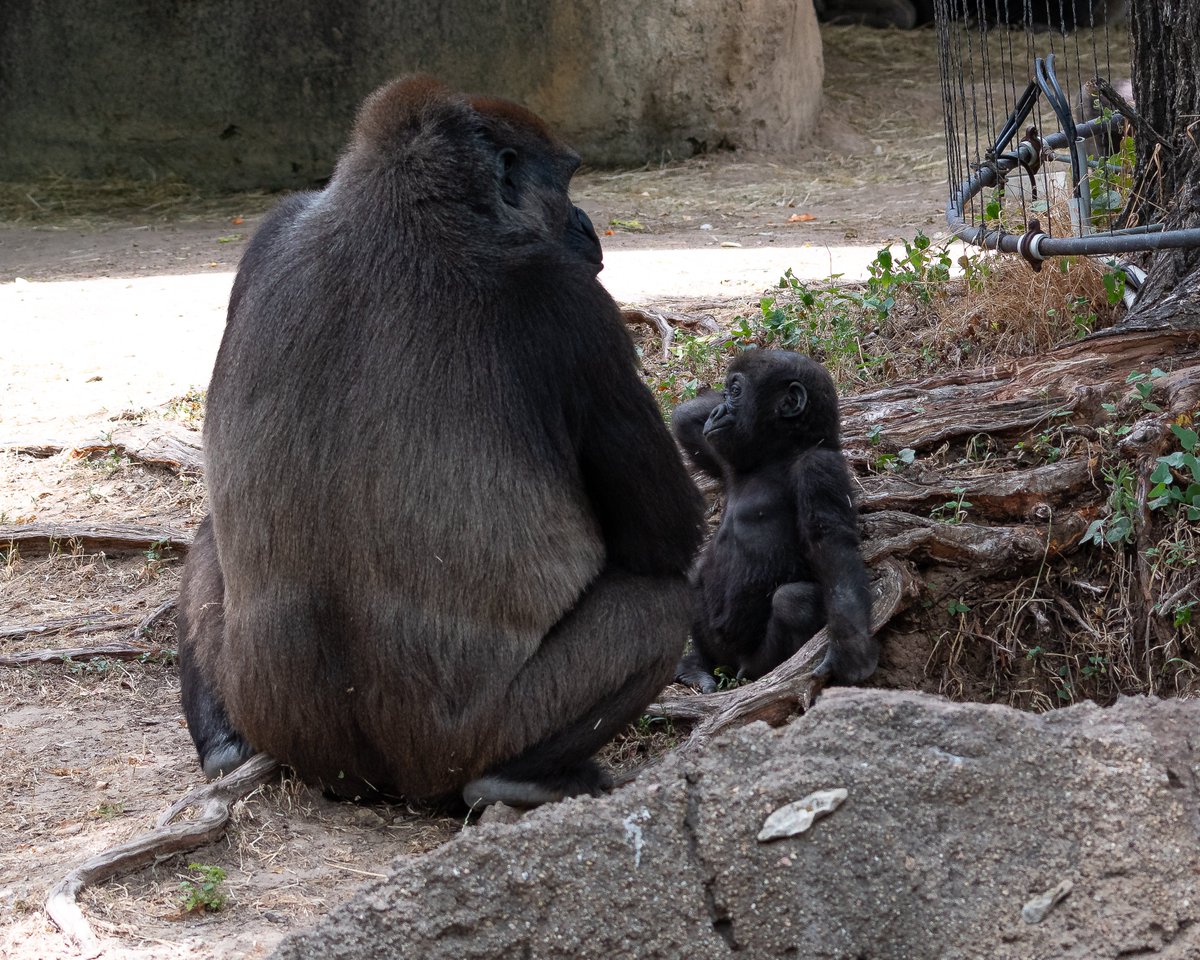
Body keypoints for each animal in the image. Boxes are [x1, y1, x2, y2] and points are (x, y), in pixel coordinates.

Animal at [177, 75, 705, 809]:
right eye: (568, 181)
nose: (585, 225)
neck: (401, 202)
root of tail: (376, 780)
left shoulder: (269, 232)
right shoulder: (569, 305)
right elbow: (665, 534)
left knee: (206, 537)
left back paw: (225, 744)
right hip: (456, 748)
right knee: (660, 604)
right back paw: (517, 776)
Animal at [670, 350, 877, 694]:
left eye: (735, 392)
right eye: (725, 393)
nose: (716, 412)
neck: (778, 454)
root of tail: (733, 664)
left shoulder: (818, 467)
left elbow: (832, 546)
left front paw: (852, 647)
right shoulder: (726, 460)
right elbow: (686, 423)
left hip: (754, 661)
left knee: (793, 603)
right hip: (718, 651)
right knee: (696, 571)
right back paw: (697, 666)